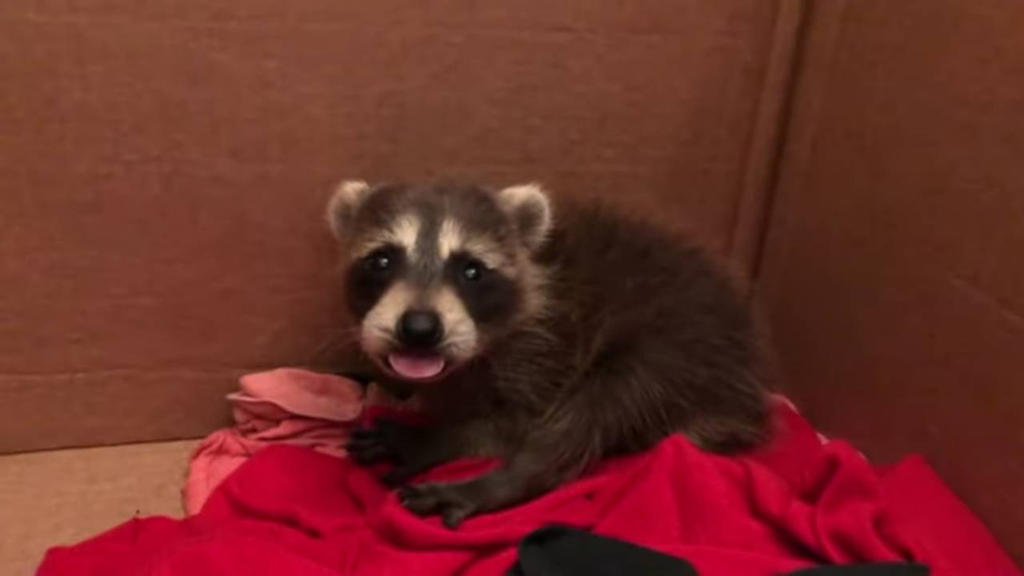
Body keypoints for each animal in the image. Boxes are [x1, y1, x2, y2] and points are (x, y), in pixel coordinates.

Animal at [326, 180, 769, 528]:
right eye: (382, 260)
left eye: (472, 270)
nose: (419, 328)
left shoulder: (551, 348)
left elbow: (517, 426)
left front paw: (438, 437)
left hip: (677, 353)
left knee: (601, 406)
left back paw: (503, 482)